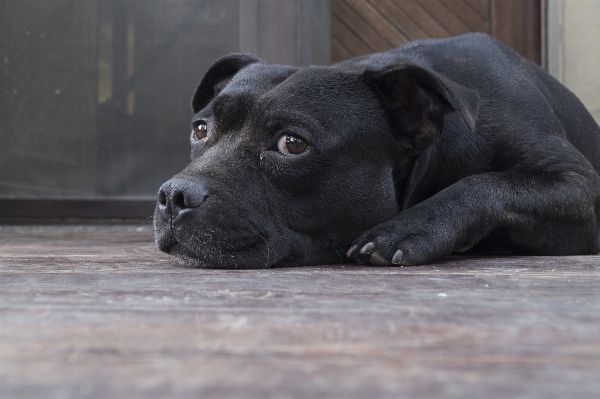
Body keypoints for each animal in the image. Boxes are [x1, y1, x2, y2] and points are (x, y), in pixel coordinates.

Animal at [155, 32, 600, 268]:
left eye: (292, 144)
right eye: (200, 129)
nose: (174, 195)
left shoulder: (579, 184)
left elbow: (487, 183)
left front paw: (409, 228)